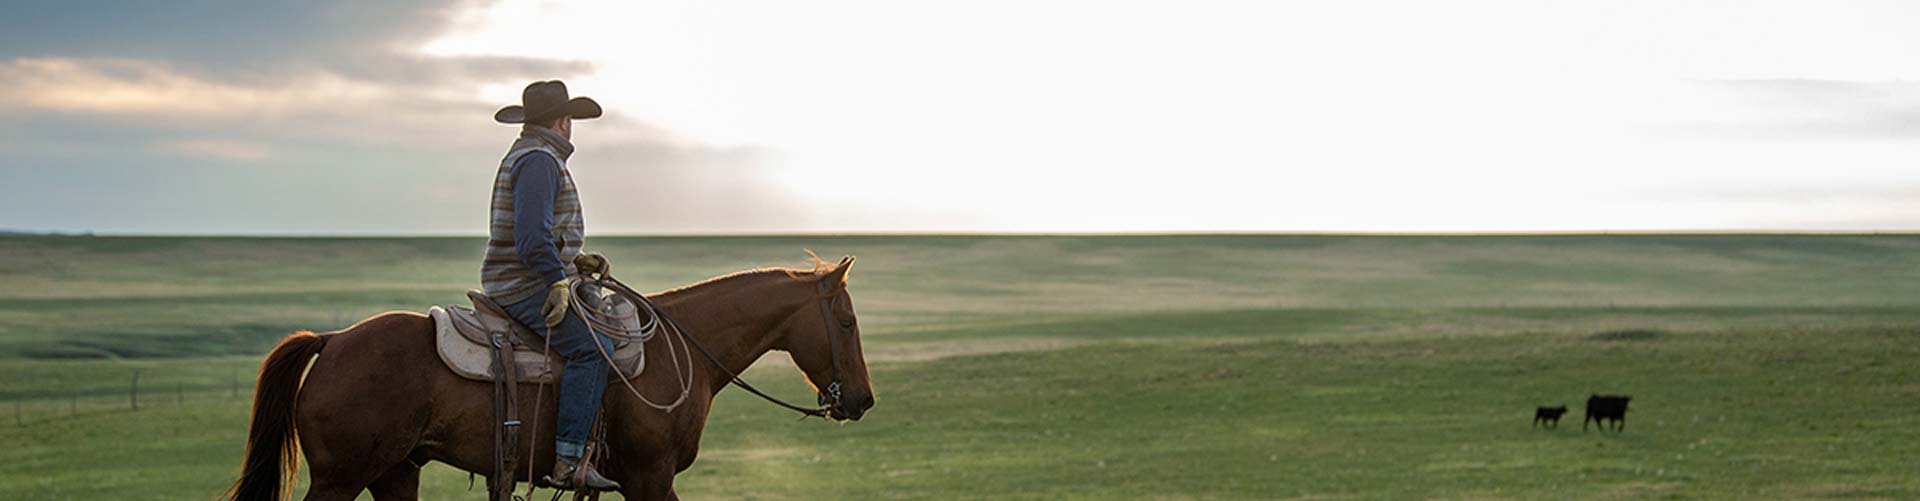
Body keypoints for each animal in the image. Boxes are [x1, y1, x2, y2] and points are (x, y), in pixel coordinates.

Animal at [224, 255, 879, 495]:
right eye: (847, 321)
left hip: (396, 472)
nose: (864, 401)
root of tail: (332, 341)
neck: (683, 352)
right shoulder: (649, 476)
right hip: (341, 478)